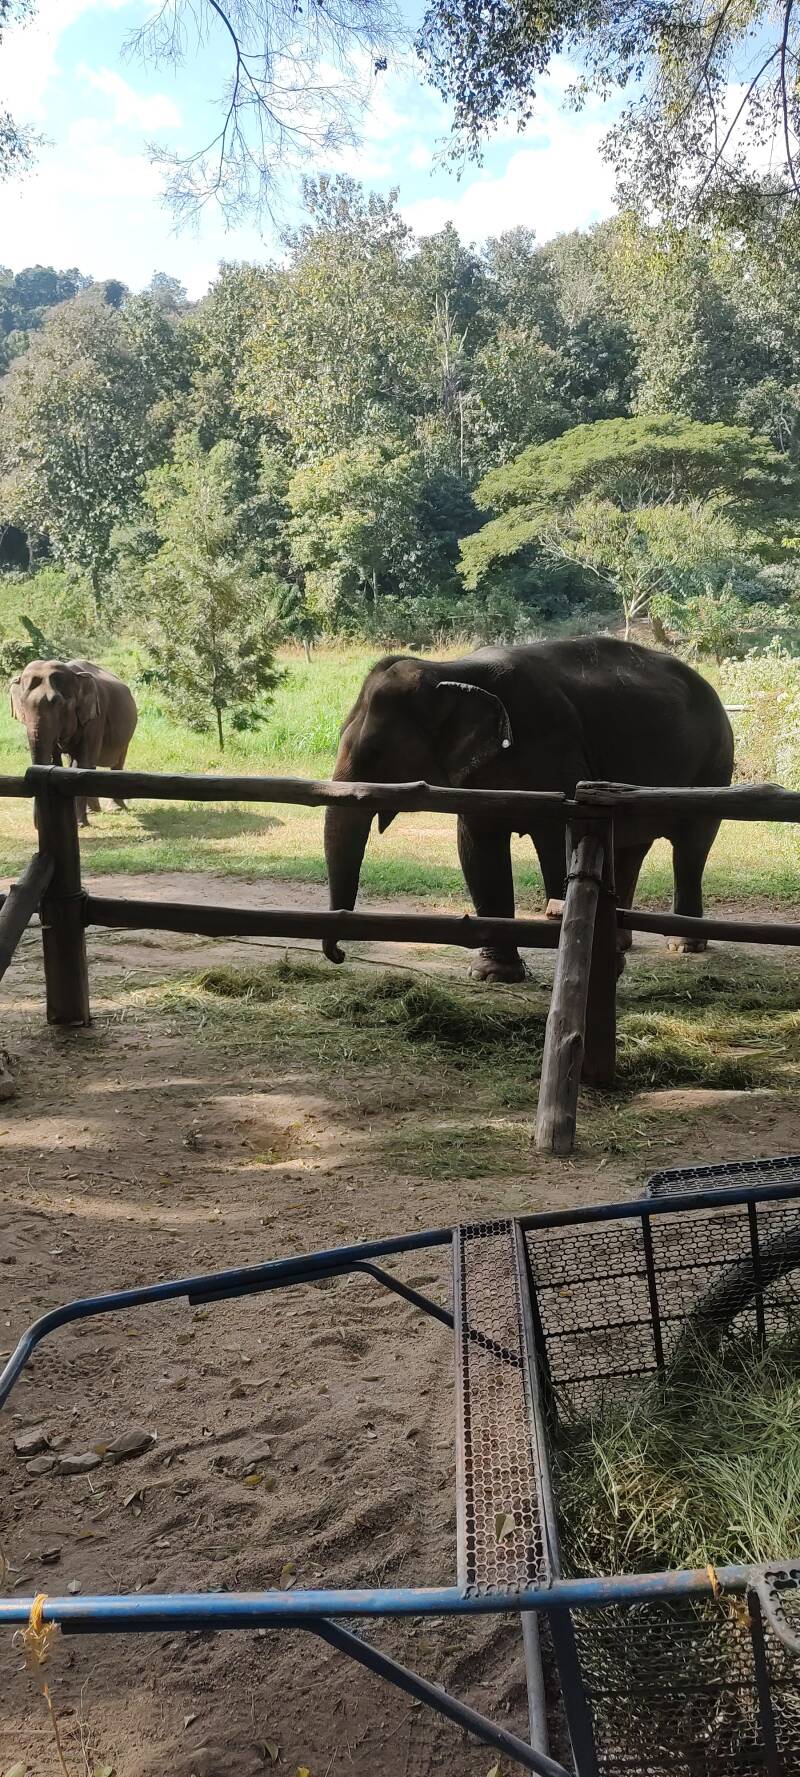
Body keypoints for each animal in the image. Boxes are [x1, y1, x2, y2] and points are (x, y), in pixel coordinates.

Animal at [10, 658, 138, 828]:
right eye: (22, 703)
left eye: (57, 703)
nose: (38, 825)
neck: (74, 675)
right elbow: (58, 764)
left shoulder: (95, 717)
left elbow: (81, 764)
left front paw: (79, 824)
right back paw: (93, 811)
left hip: (126, 734)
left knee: (116, 762)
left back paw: (115, 809)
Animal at [322, 637, 734, 982]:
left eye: (375, 752)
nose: (339, 955)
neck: (450, 670)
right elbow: (479, 852)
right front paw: (493, 975)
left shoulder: (558, 756)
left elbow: (562, 846)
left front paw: (593, 963)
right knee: (631, 849)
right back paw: (622, 941)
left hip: (714, 765)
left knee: (692, 846)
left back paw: (683, 945)